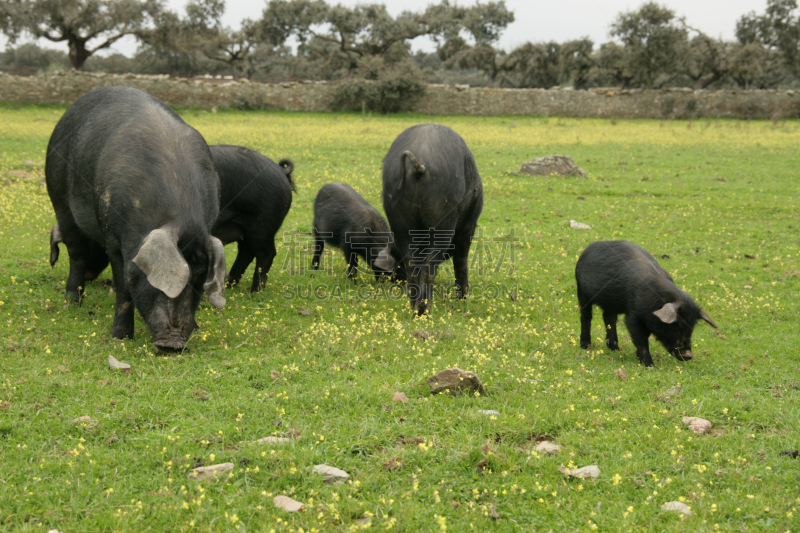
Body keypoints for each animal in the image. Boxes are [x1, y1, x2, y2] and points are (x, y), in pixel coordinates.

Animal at [45, 85, 227, 352]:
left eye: (199, 279)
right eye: (152, 281)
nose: (173, 344)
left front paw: (197, 329)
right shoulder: (112, 235)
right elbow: (123, 286)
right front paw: (119, 337)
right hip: (58, 197)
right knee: (75, 253)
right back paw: (72, 304)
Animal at [208, 143, 296, 290]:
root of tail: (280, 170)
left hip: (263, 222)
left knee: (265, 253)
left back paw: (255, 291)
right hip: (244, 227)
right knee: (246, 252)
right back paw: (229, 285)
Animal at [380, 123, 484, 316]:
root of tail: (420, 163)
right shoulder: (468, 226)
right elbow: (461, 259)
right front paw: (463, 299)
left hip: (398, 219)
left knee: (412, 261)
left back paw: (415, 309)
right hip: (443, 219)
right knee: (430, 263)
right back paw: (424, 310)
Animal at [576, 240, 720, 366]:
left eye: (692, 326)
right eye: (676, 325)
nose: (688, 355)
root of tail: (589, 247)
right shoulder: (633, 316)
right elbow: (641, 339)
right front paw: (650, 365)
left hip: (611, 303)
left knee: (608, 318)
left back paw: (616, 349)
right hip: (582, 291)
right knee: (586, 317)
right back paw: (586, 346)